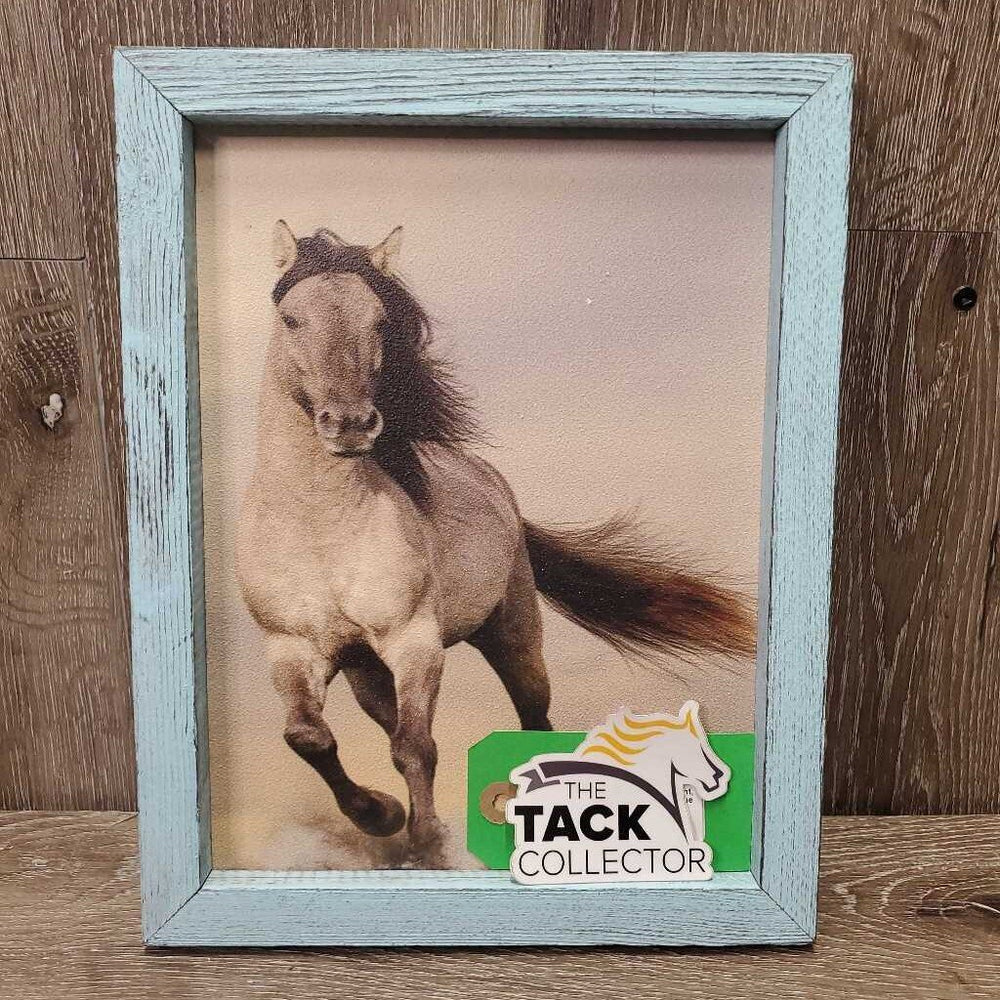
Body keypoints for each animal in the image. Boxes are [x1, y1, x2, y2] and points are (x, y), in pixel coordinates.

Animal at [237, 220, 755, 866]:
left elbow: (415, 745)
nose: (351, 424)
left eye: (378, 320)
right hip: (365, 671)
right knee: (382, 720)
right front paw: (381, 815)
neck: (318, 525)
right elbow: (309, 737)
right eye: (291, 320)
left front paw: (428, 842)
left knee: (530, 718)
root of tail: (497, 489)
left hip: (513, 636)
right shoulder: (293, 649)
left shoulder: (414, 642)